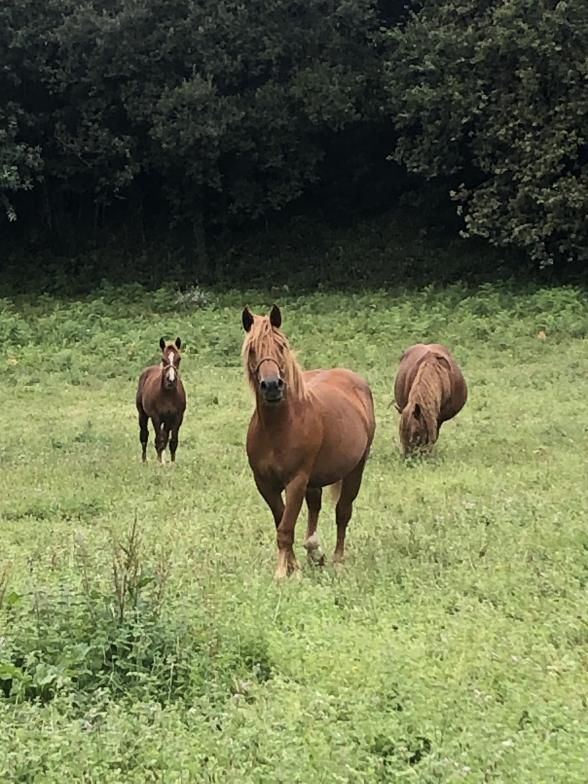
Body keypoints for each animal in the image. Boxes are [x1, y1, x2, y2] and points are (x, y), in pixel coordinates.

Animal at [240, 304, 374, 580]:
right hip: (316, 479)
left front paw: (282, 573)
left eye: (281, 346)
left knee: (343, 512)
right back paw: (315, 552)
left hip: (355, 469)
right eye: (252, 349)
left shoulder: (296, 481)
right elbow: (282, 522)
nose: (272, 386)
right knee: (315, 508)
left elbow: (285, 527)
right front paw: (294, 566)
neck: (277, 428)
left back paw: (337, 559)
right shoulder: (265, 484)